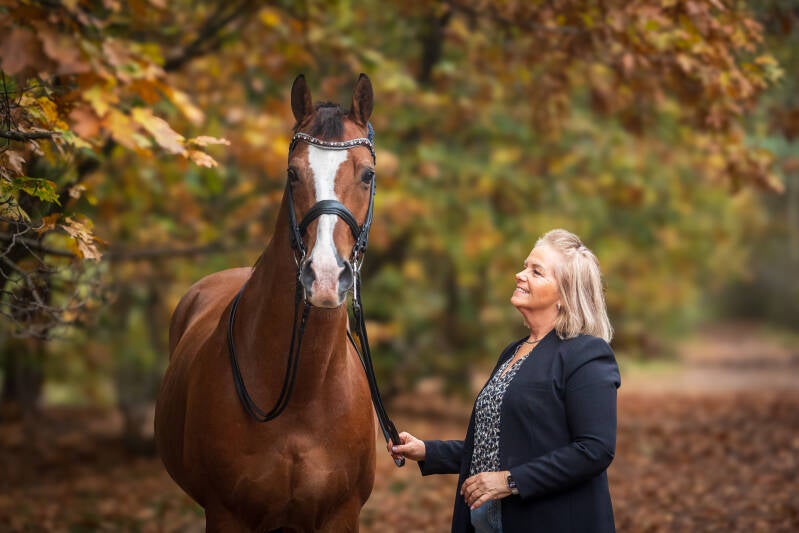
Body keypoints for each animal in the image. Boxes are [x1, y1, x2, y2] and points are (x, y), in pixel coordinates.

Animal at [155, 74, 380, 532]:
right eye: (292, 174)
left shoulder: (341, 515)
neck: (302, 397)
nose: (324, 276)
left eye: (367, 175)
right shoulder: (226, 514)